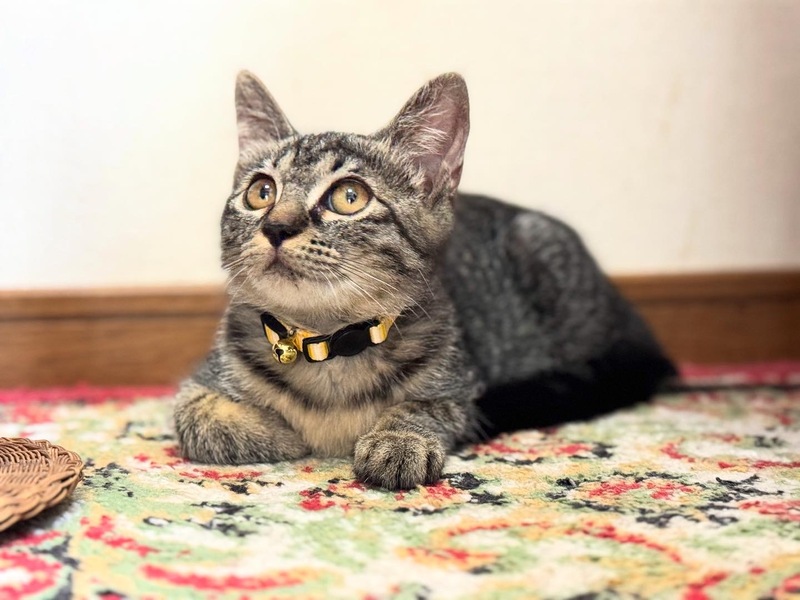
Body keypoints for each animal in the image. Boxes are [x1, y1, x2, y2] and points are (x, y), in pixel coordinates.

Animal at [174, 71, 676, 490]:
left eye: (349, 197)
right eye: (260, 192)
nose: (276, 227)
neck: (327, 345)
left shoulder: (460, 389)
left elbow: (424, 407)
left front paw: (398, 440)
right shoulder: (203, 380)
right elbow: (196, 420)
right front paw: (287, 434)